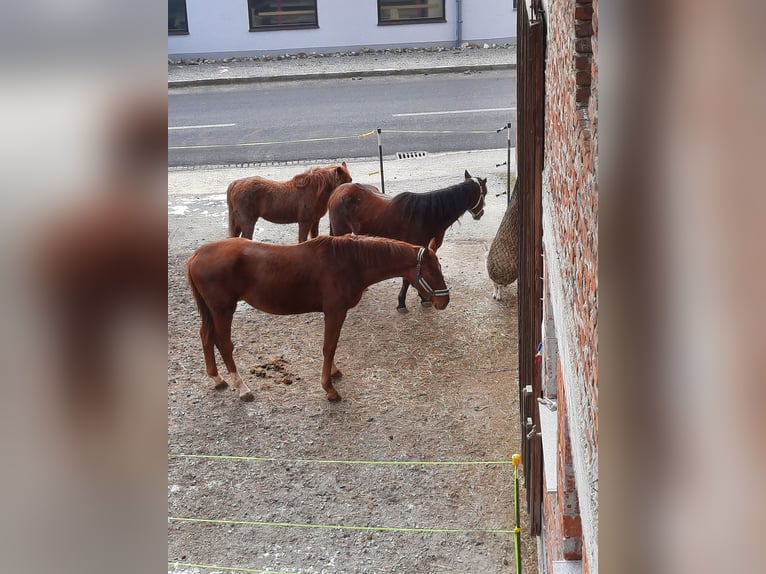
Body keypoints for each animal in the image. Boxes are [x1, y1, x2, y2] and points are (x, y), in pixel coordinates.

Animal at [187, 236, 450, 402]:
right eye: (431, 271)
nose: (444, 301)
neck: (351, 262)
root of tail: (196, 255)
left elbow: (331, 346)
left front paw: (332, 373)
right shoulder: (335, 311)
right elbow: (329, 346)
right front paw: (329, 388)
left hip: (212, 311)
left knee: (205, 336)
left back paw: (217, 378)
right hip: (223, 309)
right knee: (223, 343)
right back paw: (241, 387)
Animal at [328, 171, 486, 312]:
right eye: (484, 193)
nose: (481, 214)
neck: (427, 215)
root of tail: (337, 191)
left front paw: (424, 298)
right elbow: (407, 278)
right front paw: (402, 302)